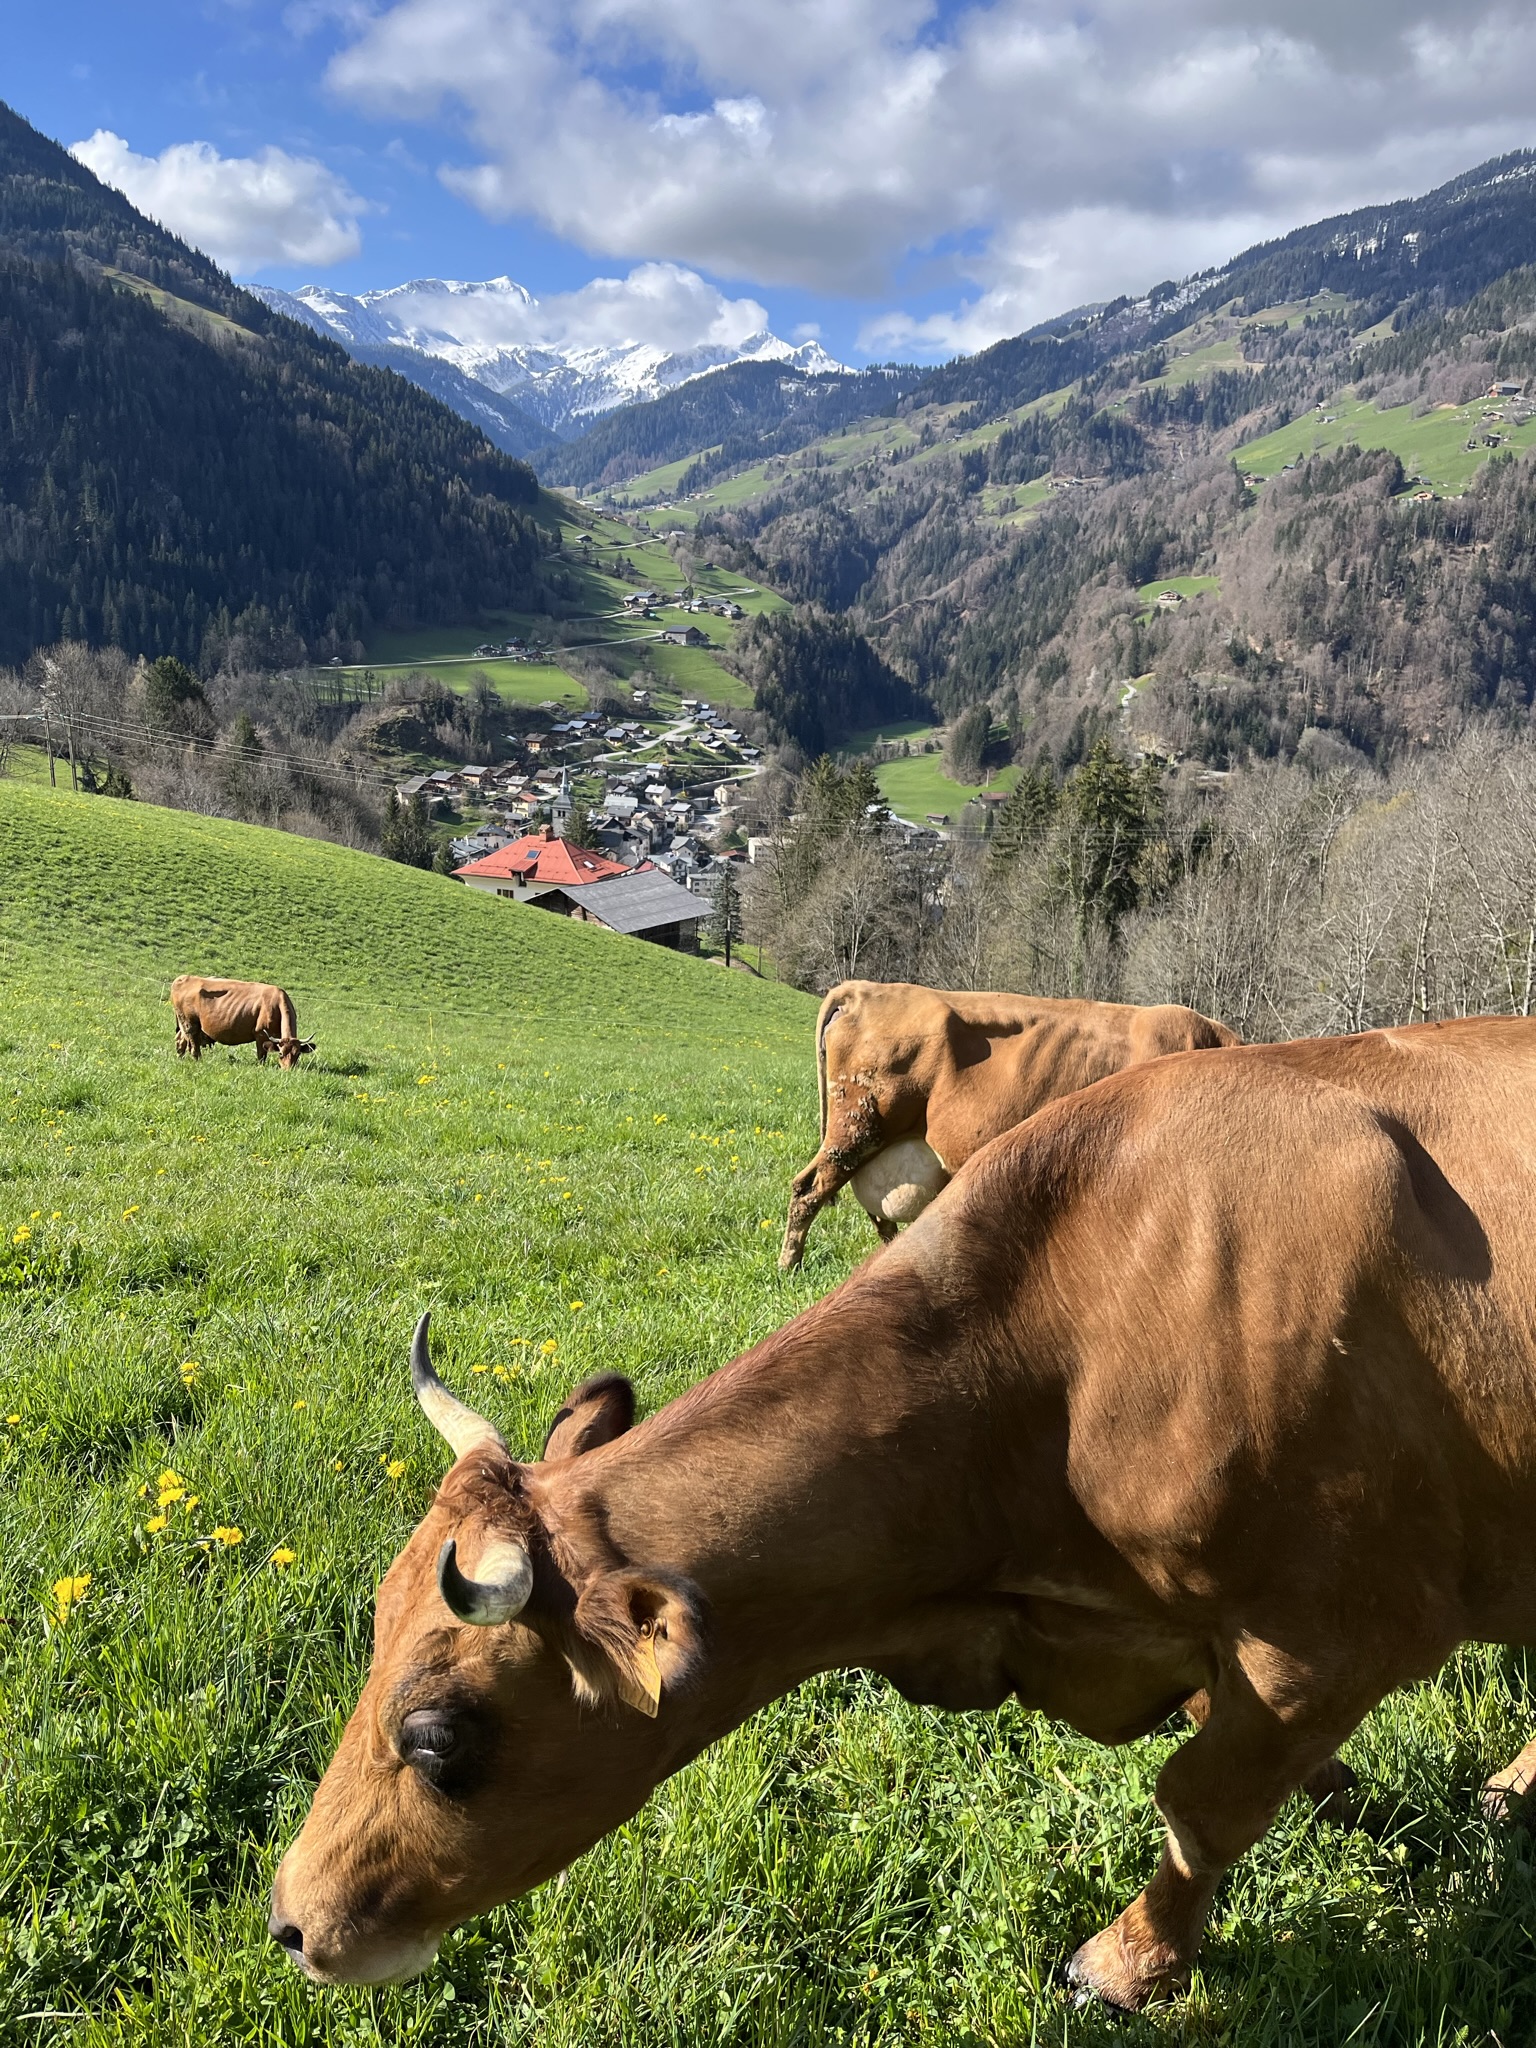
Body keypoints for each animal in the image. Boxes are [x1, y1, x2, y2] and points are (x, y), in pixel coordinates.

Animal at [169, 976, 315, 1068]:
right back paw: (198, 1061)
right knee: (193, 1045)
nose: (288, 1070)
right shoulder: (261, 1034)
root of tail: (184, 977)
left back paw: (180, 1059)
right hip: (190, 1023)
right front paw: (261, 1067)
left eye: (298, 1054)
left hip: (184, 1024)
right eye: (280, 1053)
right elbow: (261, 1055)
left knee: (180, 1040)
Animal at [271, 1016, 1536, 2009]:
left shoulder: (1333, 1635)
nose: (289, 1918)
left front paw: (1127, 1961)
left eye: (441, 1737)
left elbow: (1199, 1803)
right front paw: (1351, 1798)